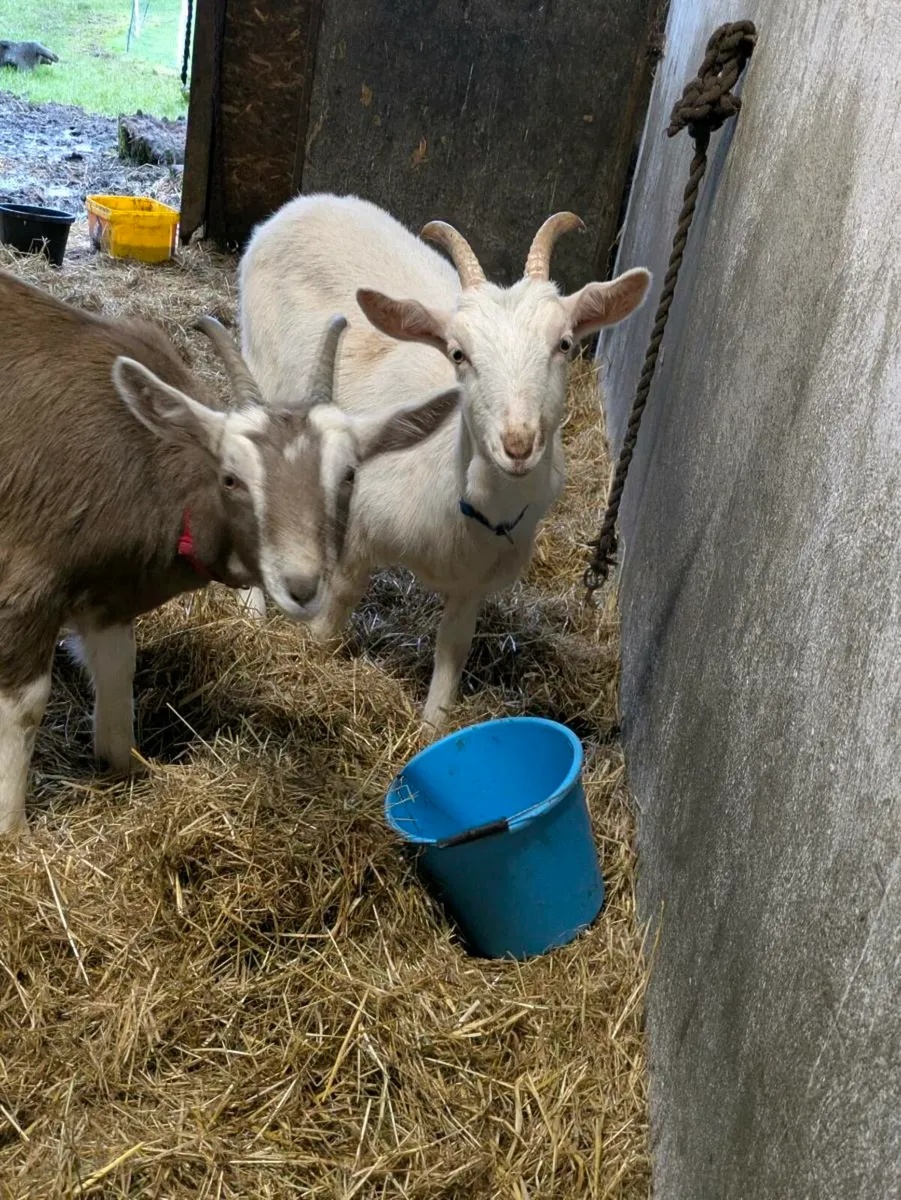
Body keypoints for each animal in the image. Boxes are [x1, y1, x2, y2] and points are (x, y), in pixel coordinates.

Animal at [0, 269, 459, 834]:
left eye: (349, 474)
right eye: (231, 478)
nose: (301, 585)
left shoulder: (109, 597)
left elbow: (118, 670)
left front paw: (127, 768)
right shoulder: (25, 589)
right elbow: (25, 705)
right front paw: (14, 832)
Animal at [237, 194, 651, 730]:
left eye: (563, 343)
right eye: (458, 353)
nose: (518, 443)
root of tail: (298, 205)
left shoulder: (473, 585)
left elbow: (452, 655)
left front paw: (432, 727)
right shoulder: (359, 535)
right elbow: (333, 616)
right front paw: (311, 661)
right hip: (261, 366)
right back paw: (251, 608)